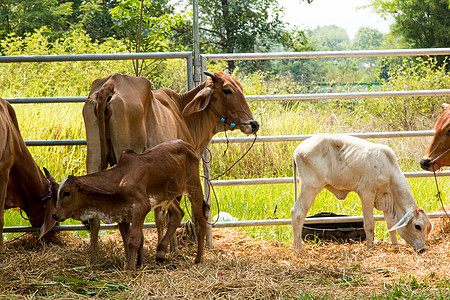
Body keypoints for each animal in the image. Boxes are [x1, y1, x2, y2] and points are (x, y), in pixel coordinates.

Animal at [51, 139, 208, 270]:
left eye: (66, 193)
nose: (55, 215)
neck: (121, 178)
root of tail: (187, 145)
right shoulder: (124, 213)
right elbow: (130, 239)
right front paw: (136, 264)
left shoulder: (141, 207)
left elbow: (133, 240)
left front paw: (131, 269)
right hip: (167, 196)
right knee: (178, 214)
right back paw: (161, 252)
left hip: (194, 188)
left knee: (201, 222)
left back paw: (198, 258)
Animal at [83, 71, 260, 264]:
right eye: (227, 90)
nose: (253, 124)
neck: (182, 116)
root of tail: (112, 83)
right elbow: (166, 214)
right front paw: (168, 249)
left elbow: (163, 215)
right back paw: (136, 258)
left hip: (94, 157)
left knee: (94, 214)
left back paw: (94, 259)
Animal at [292, 134, 432, 253]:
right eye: (417, 226)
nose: (422, 249)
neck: (389, 171)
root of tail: (298, 149)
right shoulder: (366, 194)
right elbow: (369, 224)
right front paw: (370, 248)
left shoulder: (386, 199)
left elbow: (390, 225)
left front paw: (395, 247)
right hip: (310, 186)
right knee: (297, 213)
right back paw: (298, 249)